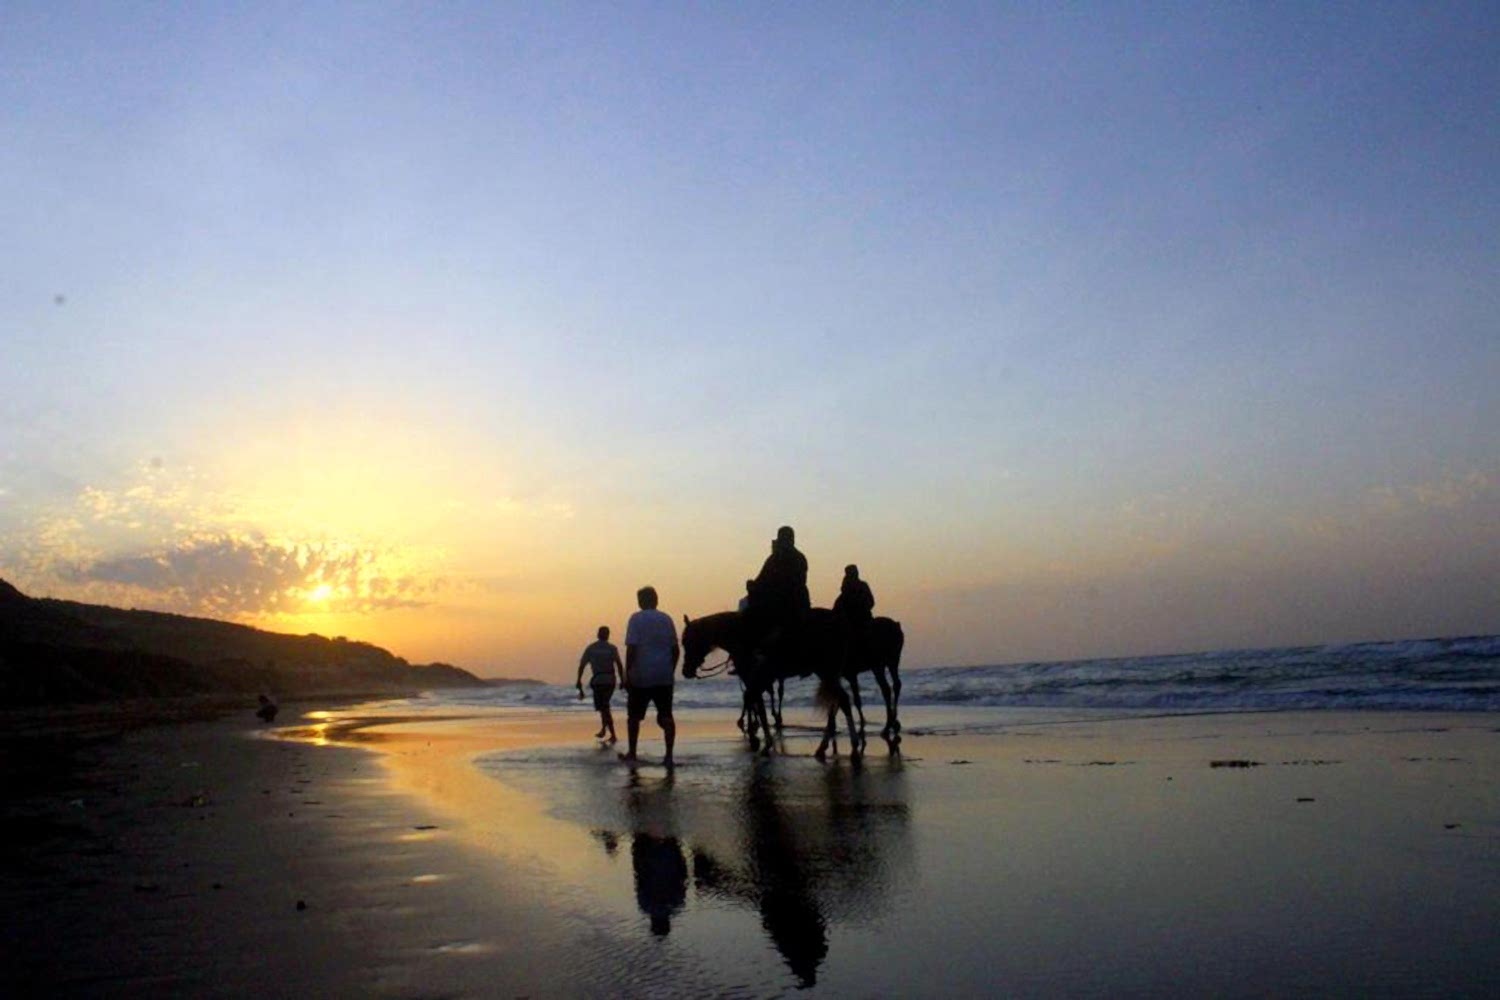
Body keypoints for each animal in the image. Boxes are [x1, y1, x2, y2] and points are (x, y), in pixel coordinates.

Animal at [682, 609, 863, 760]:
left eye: (687, 641)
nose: (685, 671)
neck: (741, 635)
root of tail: (839, 623)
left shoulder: (754, 681)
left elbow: (756, 706)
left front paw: (761, 742)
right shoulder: (756, 682)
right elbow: (758, 707)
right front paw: (762, 741)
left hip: (826, 671)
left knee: (842, 701)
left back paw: (852, 747)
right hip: (828, 674)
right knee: (837, 702)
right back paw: (825, 747)